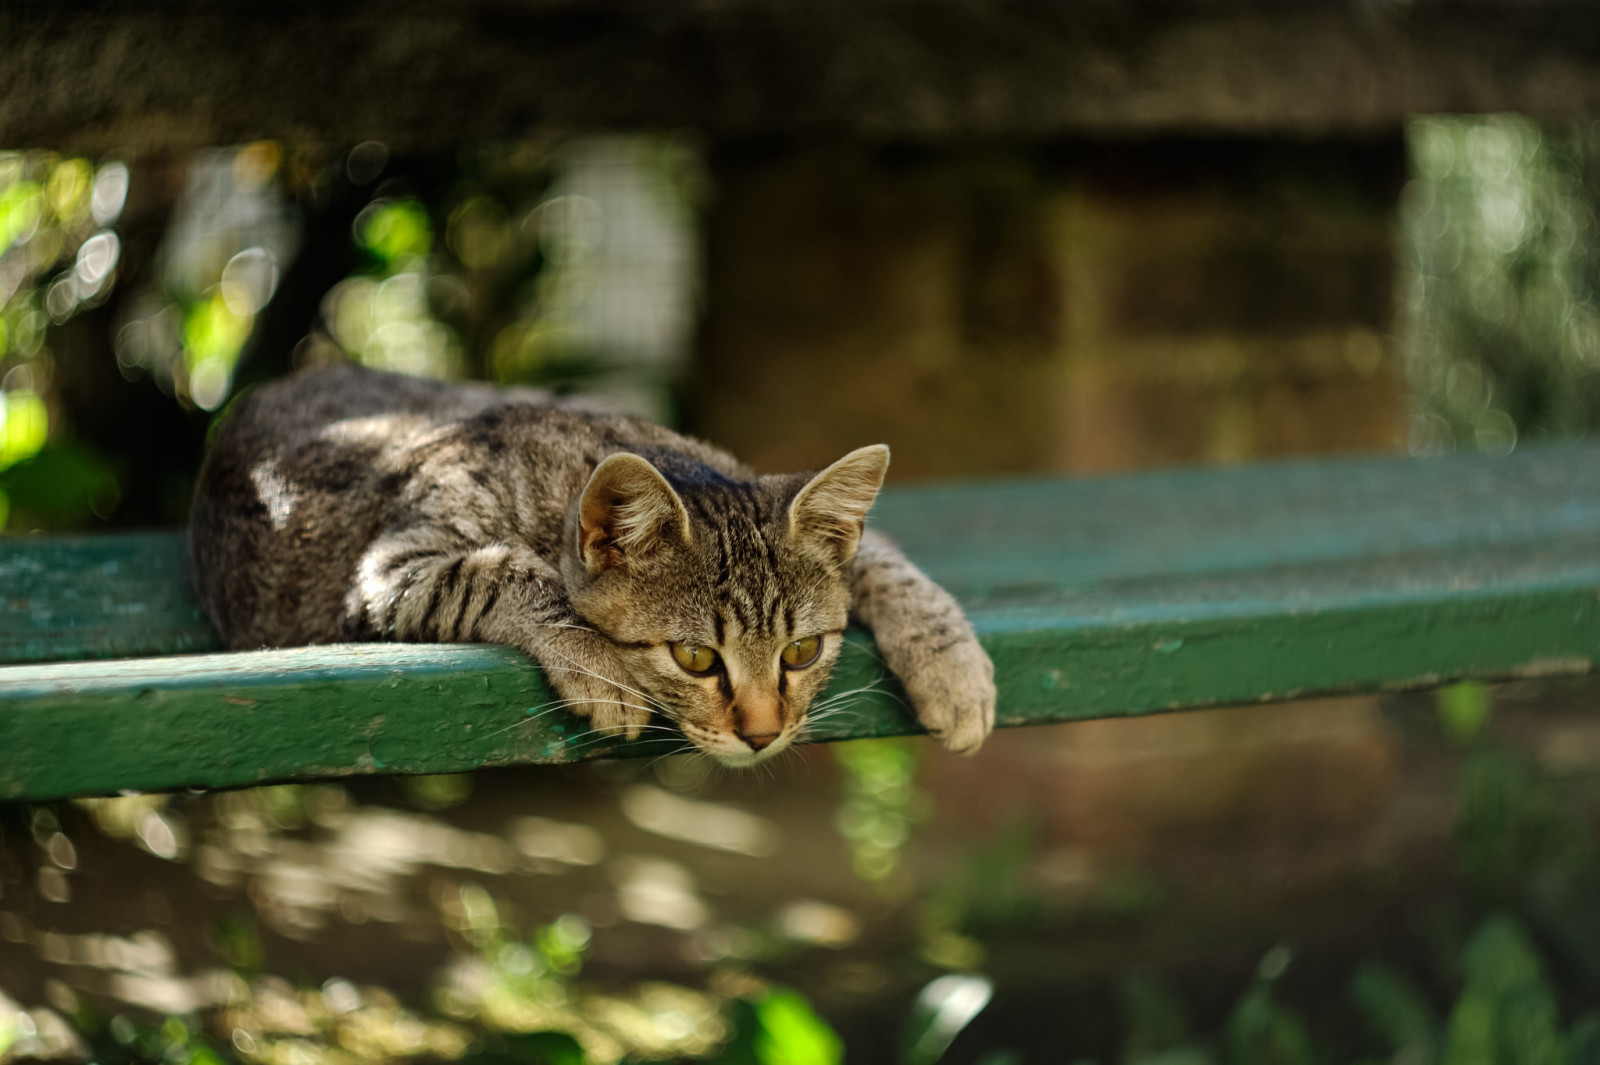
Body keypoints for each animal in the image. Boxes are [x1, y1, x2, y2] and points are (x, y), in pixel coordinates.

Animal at [184, 364, 985, 764]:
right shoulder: (391, 570)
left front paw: (954, 667)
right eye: (696, 658)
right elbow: (504, 574)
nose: (762, 735)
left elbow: (885, 559)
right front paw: (597, 667)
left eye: (802, 652)